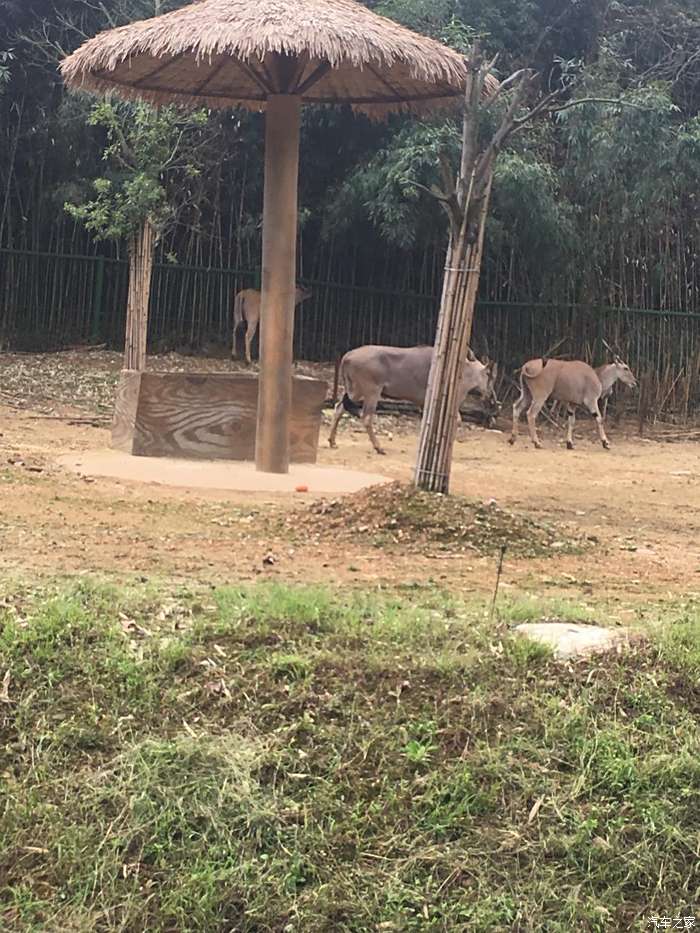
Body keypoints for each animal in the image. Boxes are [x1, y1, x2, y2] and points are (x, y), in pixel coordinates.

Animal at [328, 346, 498, 456]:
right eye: (490, 375)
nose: (491, 397)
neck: (463, 371)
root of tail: (347, 357)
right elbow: (456, 420)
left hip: (355, 392)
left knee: (339, 407)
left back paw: (332, 441)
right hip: (371, 392)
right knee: (367, 418)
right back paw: (379, 447)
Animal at [508, 354, 640, 450]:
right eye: (626, 368)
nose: (634, 382)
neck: (597, 376)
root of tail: (526, 366)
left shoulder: (572, 404)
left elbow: (571, 421)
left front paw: (569, 444)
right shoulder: (591, 401)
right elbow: (599, 419)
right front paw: (605, 443)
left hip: (527, 394)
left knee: (516, 407)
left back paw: (512, 438)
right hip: (540, 396)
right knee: (531, 414)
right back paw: (537, 442)